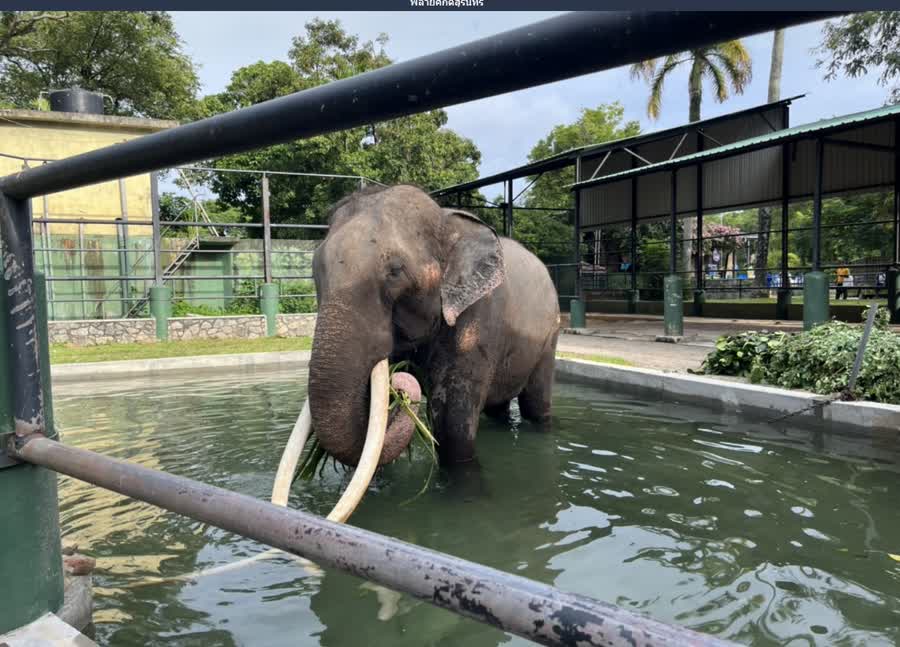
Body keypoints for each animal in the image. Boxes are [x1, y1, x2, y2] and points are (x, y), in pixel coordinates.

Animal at [306, 183, 560, 490]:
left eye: (395, 272)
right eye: (315, 270)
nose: (401, 388)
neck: (445, 218)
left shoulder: (477, 318)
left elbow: (451, 423)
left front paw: (466, 491)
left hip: (550, 334)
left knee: (536, 401)